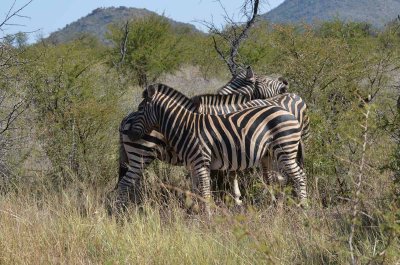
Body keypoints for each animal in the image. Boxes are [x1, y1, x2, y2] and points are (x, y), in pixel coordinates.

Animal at [128, 83, 306, 212]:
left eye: (140, 109)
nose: (130, 134)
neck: (185, 127)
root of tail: (289, 113)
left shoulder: (201, 162)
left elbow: (205, 192)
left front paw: (207, 216)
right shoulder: (192, 165)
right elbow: (196, 191)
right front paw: (196, 214)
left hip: (285, 150)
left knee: (299, 175)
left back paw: (303, 206)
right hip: (270, 154)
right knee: (276, 179)